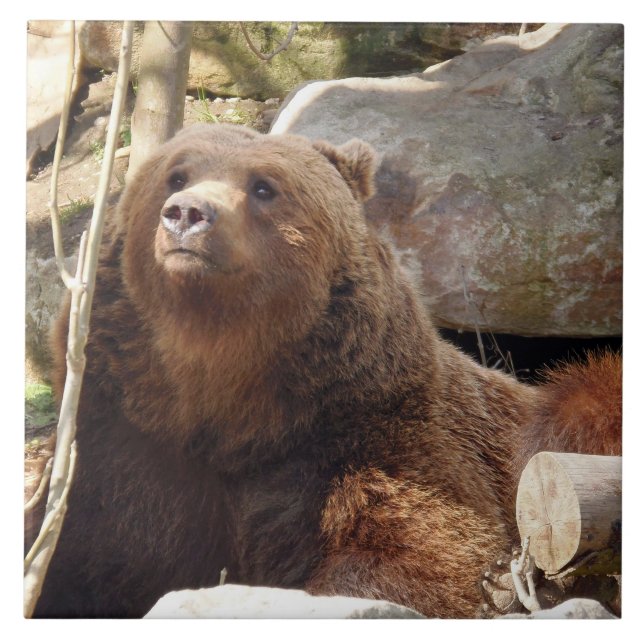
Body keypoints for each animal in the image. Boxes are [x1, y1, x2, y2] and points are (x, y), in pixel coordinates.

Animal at [27, 123, 622, 618]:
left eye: (264, 186)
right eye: (176, 174)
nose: (188, 212)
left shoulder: (365, 437)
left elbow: (418, 556)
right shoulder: (131, 447)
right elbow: (89, 553)